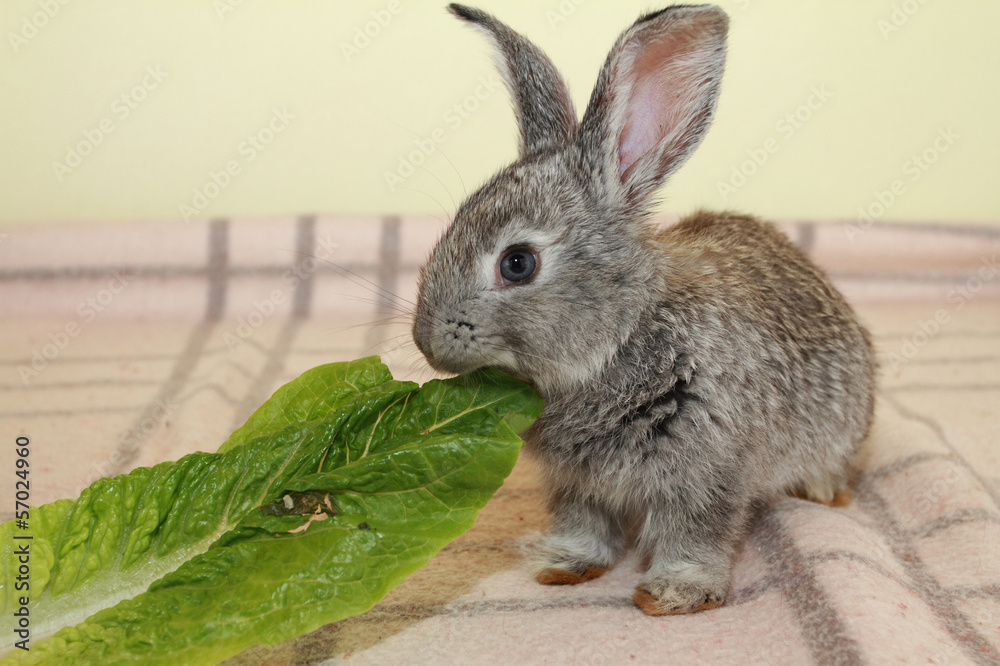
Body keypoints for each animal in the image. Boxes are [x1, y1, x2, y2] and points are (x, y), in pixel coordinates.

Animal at [411, 3, 876, 615]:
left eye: (517, 263)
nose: (426, 341)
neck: (620, 338)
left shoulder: (708, 470)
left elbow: (694, 533)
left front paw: (674, 595)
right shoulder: (575, 484)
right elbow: (583, 525)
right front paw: (563, 567)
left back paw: (824, 491)